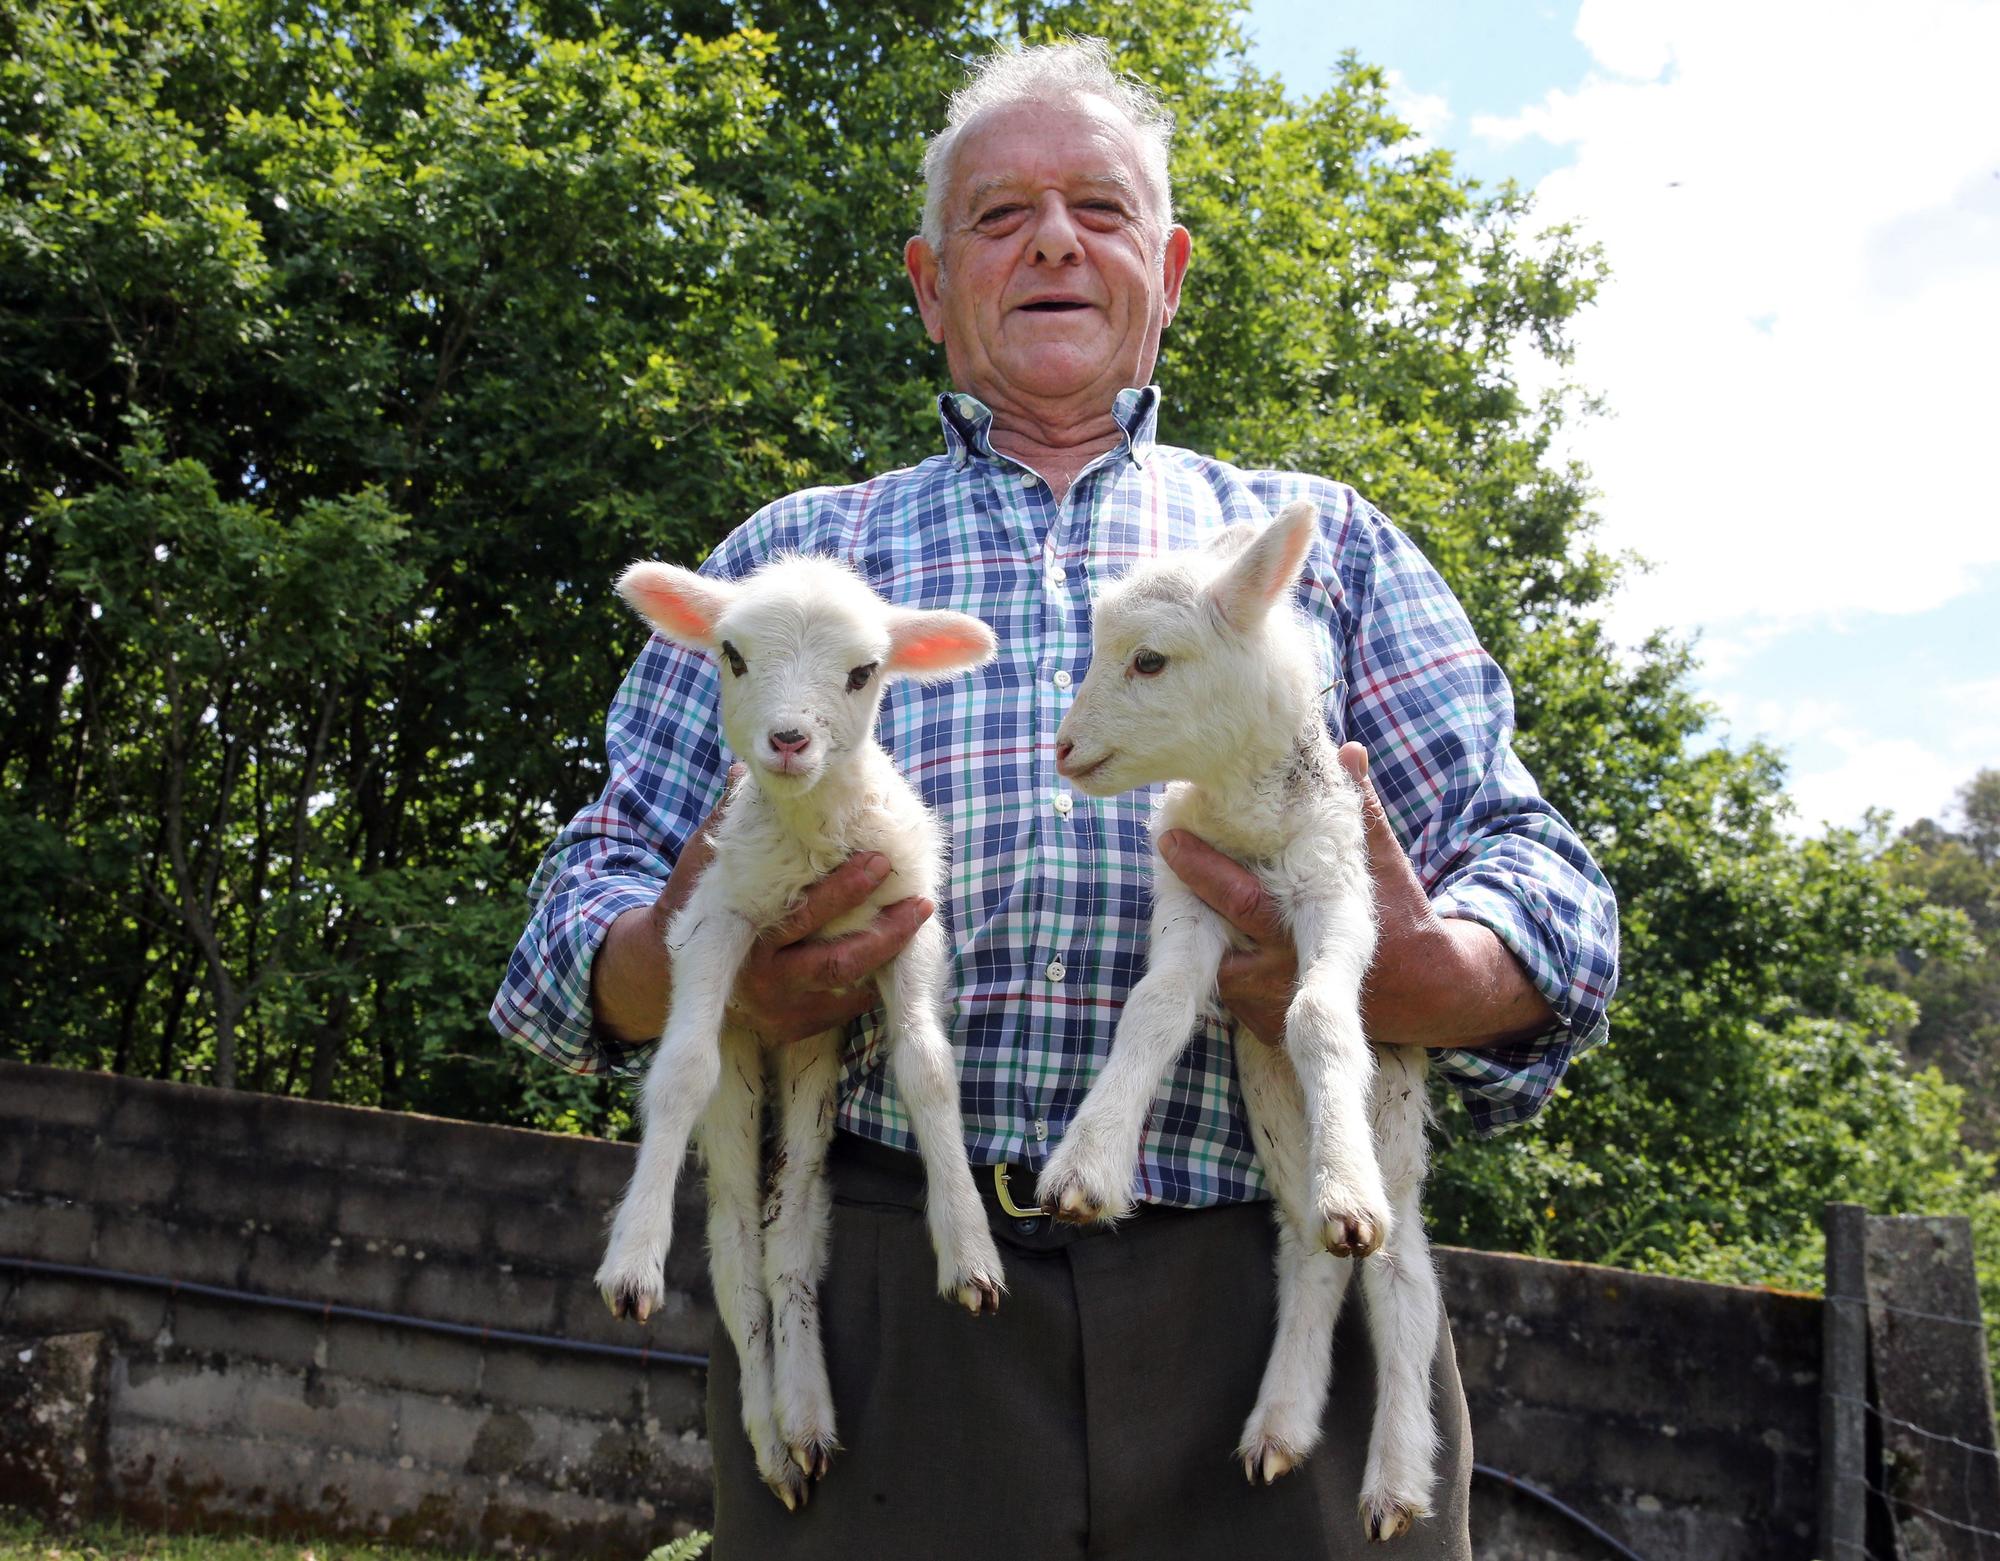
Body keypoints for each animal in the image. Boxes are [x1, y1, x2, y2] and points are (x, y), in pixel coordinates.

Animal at [588, 552, 1000, 1512]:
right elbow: (680, 1068)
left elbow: (928, 1066)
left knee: (794, 1230)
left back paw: (805, 1413)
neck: (814, 838)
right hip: (747, 1067)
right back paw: (773, 1438)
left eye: (864, 671)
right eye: (732, 654)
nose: (787, 740)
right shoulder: (715, 921)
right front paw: (632, 1262)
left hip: (813, 1067)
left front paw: (970, 1250)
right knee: (738, 1245)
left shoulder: (905, 920)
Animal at [1048, 496, 1440, 1536]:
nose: (1061, 747)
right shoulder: (1189, 898)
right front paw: (1086, 1165)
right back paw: (1280, 1422)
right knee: (1311, 1250)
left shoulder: (1339, 893)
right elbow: (1154, 1008)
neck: (1248, 822)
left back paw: (1394, 1477)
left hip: (1396, 1123)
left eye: (1149, 660)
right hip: (1273, 1121)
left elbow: (1316, 1016)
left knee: (1402, 1277)